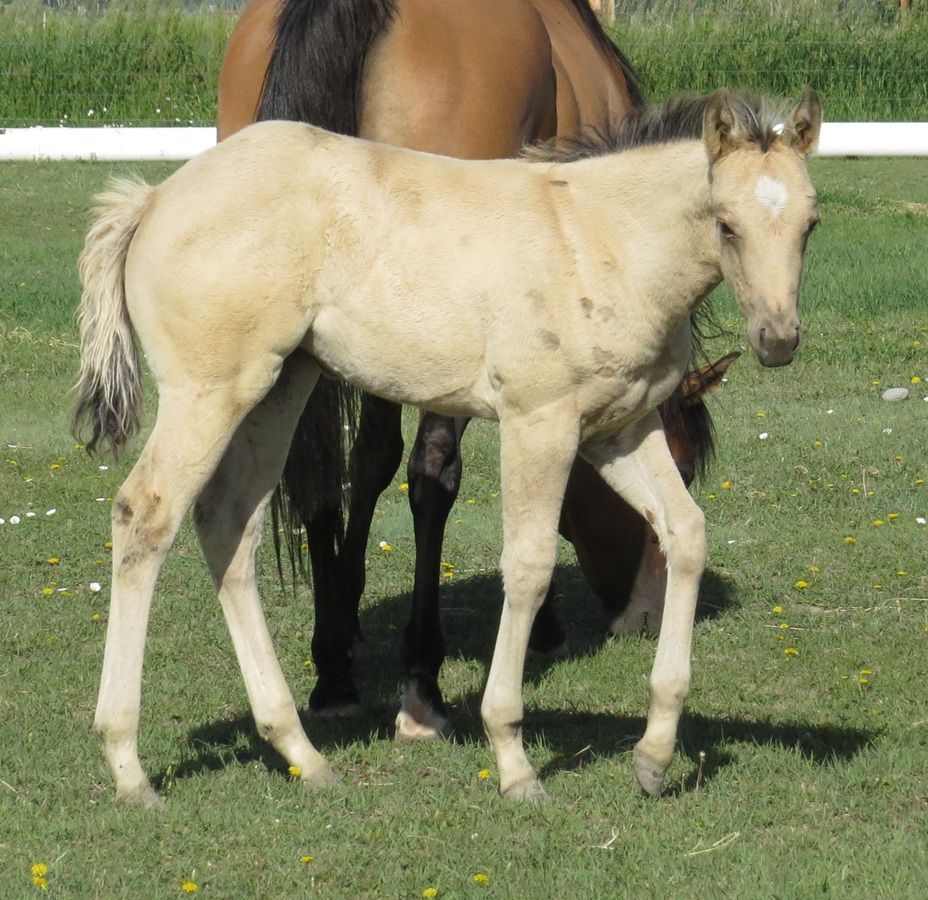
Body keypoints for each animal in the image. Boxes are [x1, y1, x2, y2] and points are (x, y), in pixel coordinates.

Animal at [74, 87, 821, 806]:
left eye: (810, 225)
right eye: (727, 224)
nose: (778, 340)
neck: (600, 238)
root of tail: (153, 200)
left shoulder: (619, 430)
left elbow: (687, 533)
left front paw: (655, 755)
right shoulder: (538, 422)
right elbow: (528, 566)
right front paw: (514, 761)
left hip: (281, 384)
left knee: (229, 524)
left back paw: (301, 752)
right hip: (209, 392)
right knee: (145, 515)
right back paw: (128, 767)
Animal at [217, 0, 663, 739]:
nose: (646, 613)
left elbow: (368, 459)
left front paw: (346, 620)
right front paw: (541, 625)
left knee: (317, 468)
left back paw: (333, 670)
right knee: (431, 474)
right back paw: (422, 683)